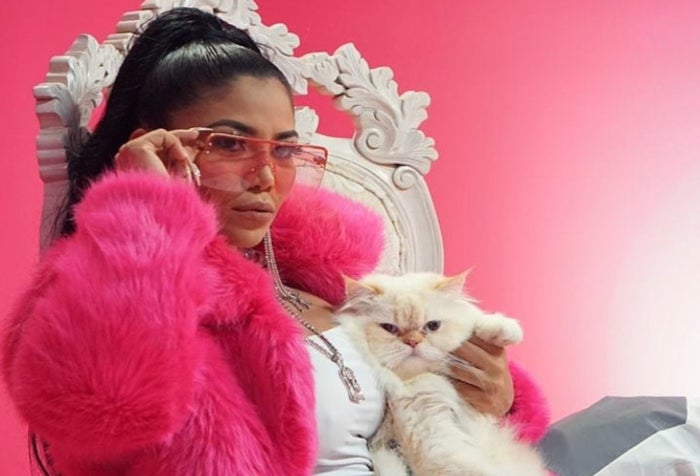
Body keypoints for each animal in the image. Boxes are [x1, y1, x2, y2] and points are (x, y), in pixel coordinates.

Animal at [336, 271, 547, 476]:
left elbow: (475, 319)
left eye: (432, 326)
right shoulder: (430, 434)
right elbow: (471, 469)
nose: (413, 342)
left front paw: (505, 330)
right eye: (390, 328)